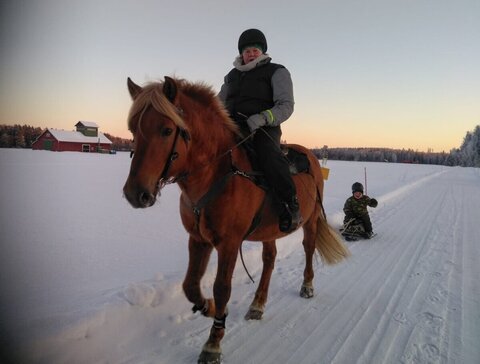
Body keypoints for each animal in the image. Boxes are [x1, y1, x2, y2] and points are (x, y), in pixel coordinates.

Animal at [124, 77, 348, 364]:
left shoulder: (229, 243)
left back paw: (307, 285)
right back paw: (257, 304)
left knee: (308, 249)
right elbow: (190, 285)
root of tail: (309, 156)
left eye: (166, 130)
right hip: (269, 230)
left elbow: (221, 288)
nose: (135, 193)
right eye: (132, 128)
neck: (215, 172)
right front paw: (208, 307)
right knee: (269, 260)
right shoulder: (198, 239)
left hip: (308, 222)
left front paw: (213, 342)